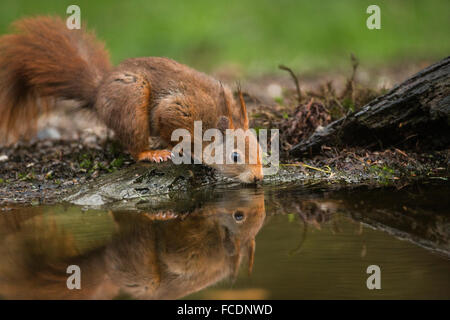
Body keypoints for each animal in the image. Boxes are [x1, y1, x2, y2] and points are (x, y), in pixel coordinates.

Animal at [0, 16, 264, 182]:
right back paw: (150, 153)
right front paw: (178, 150)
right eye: (235, 157)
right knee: (134, 144)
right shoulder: (177, 111)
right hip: (131, 101)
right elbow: (167, 126)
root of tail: (99, 91)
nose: (258, 178)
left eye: (261, 149)